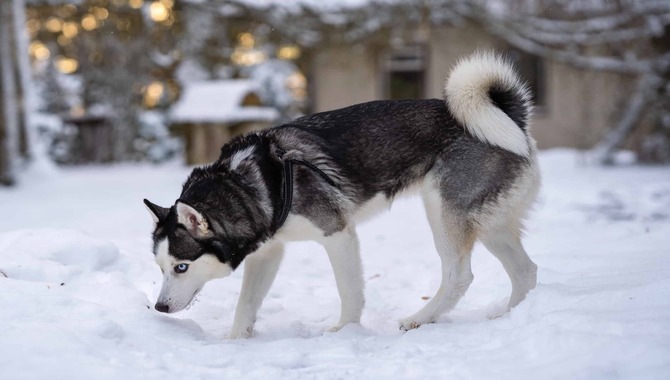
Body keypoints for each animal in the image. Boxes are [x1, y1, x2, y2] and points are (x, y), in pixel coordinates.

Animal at [146, 51, 540, 338]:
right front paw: (234, 342)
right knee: (526, 271)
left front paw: (345, 332)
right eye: (160, 267)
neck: (249, 184)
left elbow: (349, 291)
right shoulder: (268, 253)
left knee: (460, 276)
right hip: (490, 225)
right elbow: (245, 306)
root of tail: (511, 119)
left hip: (444, 213)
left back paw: (420, 318)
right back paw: (511, 316)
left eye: (181, 267)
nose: (159, 308)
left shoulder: (337, 234)